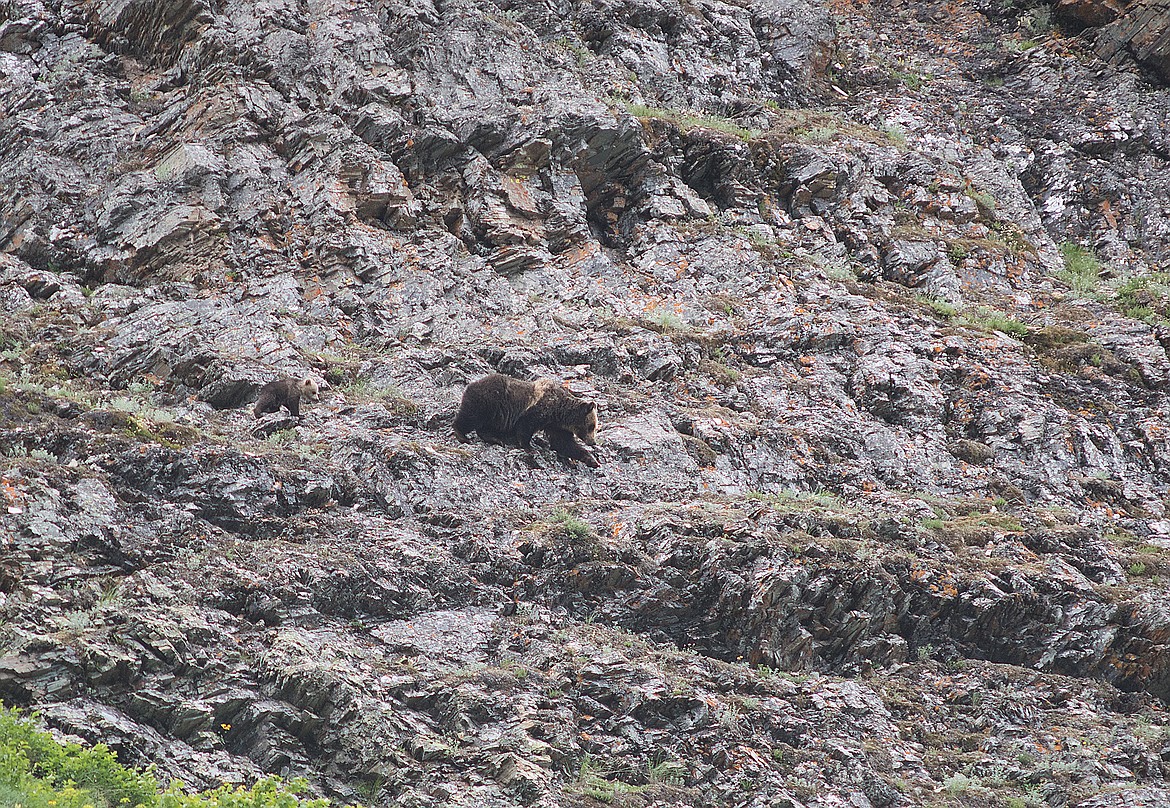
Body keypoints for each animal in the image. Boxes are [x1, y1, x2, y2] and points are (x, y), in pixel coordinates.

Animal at [451, 374, 599, 467]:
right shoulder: (536, 411)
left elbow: (564, 443)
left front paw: (592, 460)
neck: (559, 412)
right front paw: (530, 448)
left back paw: (495, 439)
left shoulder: (556, 426)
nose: (593, 442)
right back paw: (462, 435)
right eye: (591, 426)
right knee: (470, 417)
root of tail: (470, 385)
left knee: (484, 427)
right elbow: (525, 428)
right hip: (488, 402)